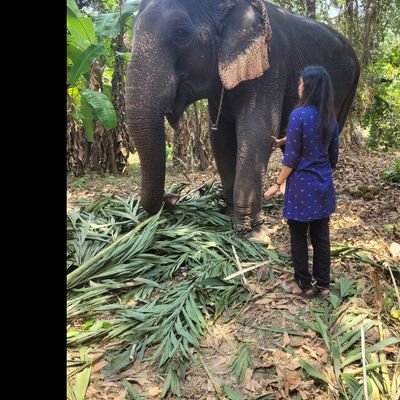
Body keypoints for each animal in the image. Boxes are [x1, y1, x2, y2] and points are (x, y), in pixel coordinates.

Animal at [126, 0, 360, 236]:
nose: (174, 197)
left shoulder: (270, 65)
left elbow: (259, 132)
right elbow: (220, 137)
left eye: (181, 33)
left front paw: (251, 232)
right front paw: (229, 215)